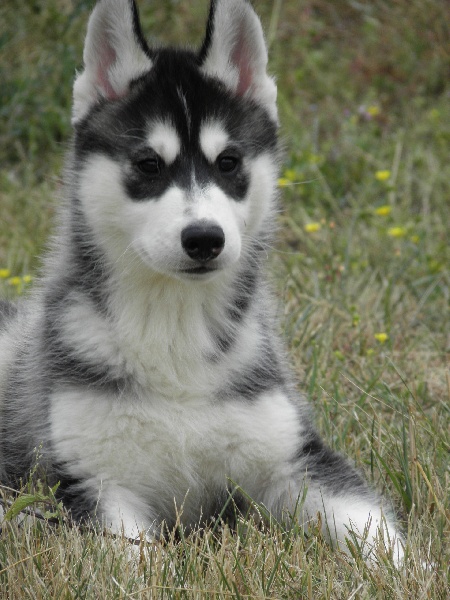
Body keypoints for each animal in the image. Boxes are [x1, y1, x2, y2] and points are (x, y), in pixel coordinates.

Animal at [0, 0, 400, 564]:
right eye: (148, 164)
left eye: (228, 162)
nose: (205, 238)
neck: (176, 327)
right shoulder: (95, 484)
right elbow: (139, 561)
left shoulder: (297, 460)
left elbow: (377, 533)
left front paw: (416, 571)